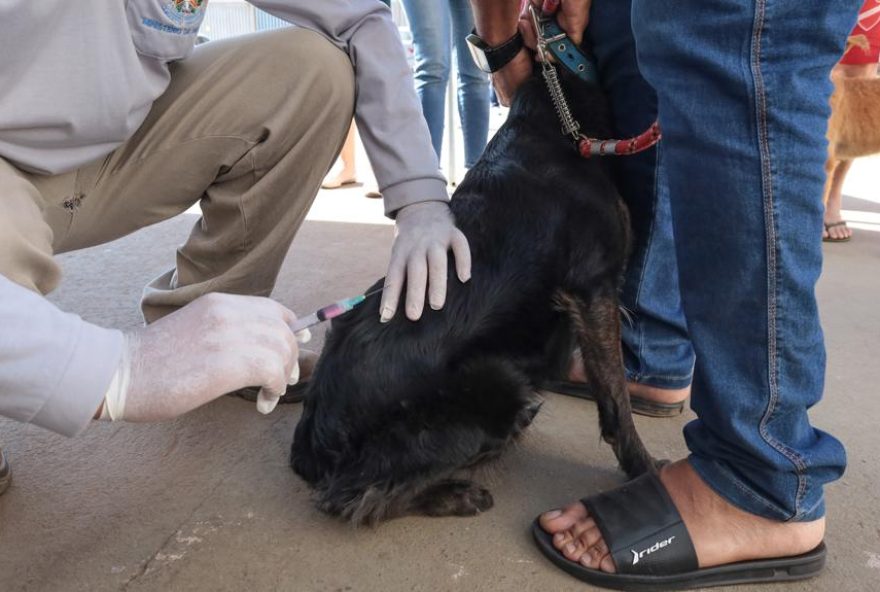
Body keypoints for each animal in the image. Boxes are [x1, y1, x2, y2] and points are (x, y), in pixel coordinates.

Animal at [292, 67, 656, 524]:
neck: (556, 117)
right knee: (352, 497)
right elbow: (616, 397)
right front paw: (646, 470)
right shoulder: (594, 289)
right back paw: (456, 494)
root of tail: (313, 439)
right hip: (498, 386)